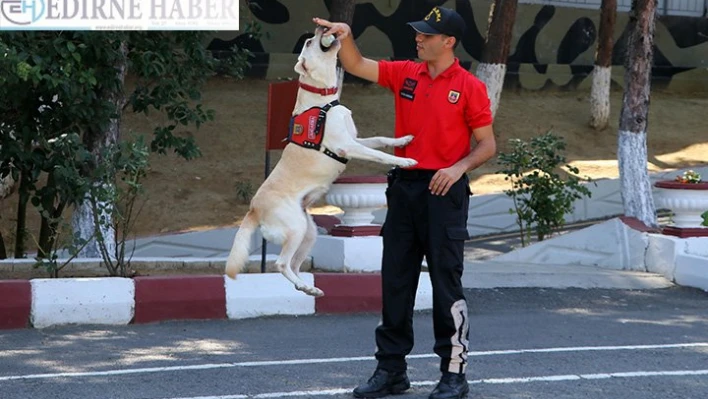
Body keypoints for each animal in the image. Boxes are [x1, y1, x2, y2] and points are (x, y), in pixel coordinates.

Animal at [224, 25, 418, 296]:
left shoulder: (355, 140)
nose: (320, 27)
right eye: (308, 42)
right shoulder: (347, 145)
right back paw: (303, 285)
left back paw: (308, 289)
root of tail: (253, 209)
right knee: (281, 263)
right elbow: (379, 154)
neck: (324, 98)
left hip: (308, 232)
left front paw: (403, 139)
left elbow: (380, 140)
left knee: (295, 265)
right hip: (295, 227)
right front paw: (405, 161)